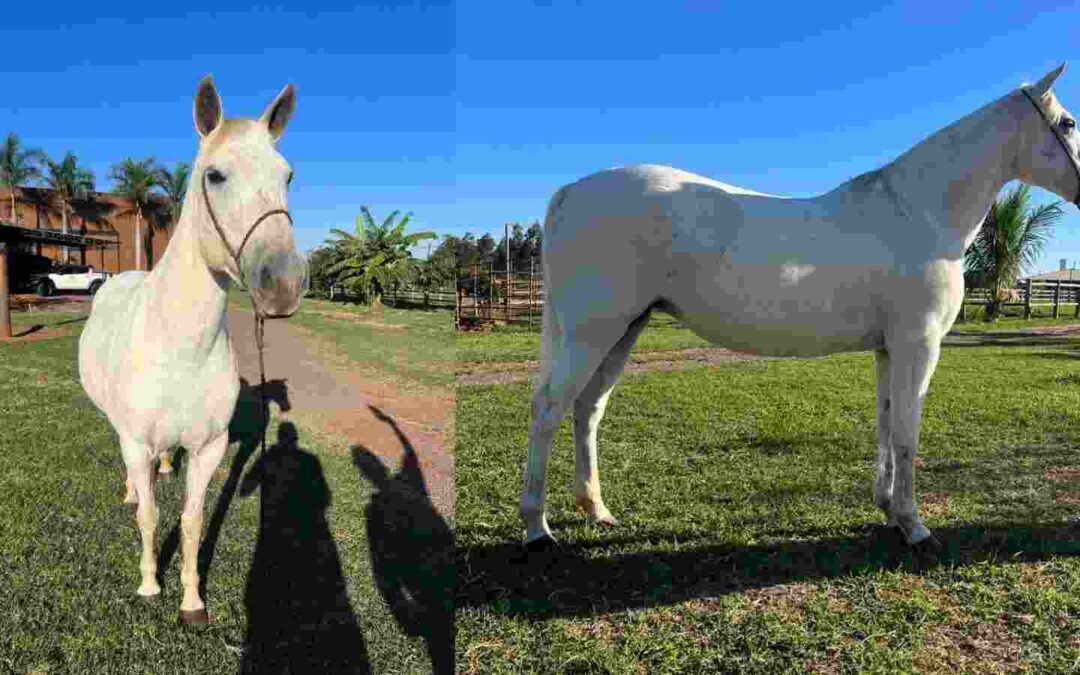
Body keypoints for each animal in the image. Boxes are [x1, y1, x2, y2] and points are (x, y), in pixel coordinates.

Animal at [79, 76, 308, 623]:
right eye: (215, 176)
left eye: (288, 175)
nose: (284, 284)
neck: (180, 346)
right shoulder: (136, 440)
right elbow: (150, 514)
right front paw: (149, 585)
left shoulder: (209, 449)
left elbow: (191, 520)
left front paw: (190, 600)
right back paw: (131, 487)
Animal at [521, 63, 1080, 551]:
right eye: (1069, 123)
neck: (917, 212)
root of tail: (568, 192)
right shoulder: (918, 346)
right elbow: (907, 433)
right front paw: (915, 526)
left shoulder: (888, 350)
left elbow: (886, 425)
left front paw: (888, 510)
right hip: (593, 332)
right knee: (549, 409)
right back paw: (536, 528)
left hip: (623, 330)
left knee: (587, 410)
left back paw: (596, 509)